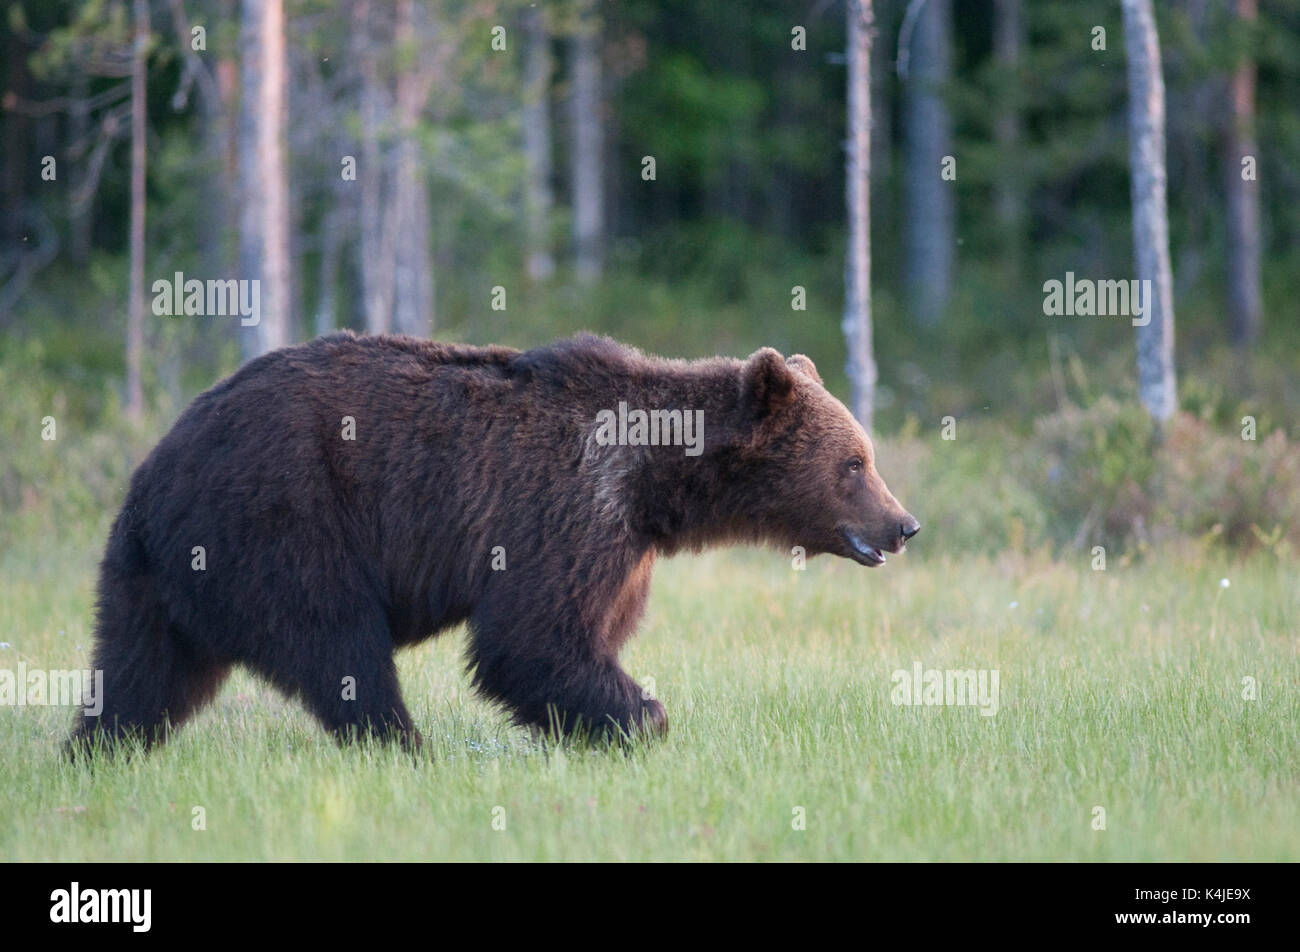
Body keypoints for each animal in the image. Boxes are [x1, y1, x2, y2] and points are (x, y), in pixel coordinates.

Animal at [71, 330, 920, 754]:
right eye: (854, 463)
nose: (904, 524)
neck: (657, 485)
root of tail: (155, 471)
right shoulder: (566, 509)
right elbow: (532, 640)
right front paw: (642, 718)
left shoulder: (623, 547)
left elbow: (588, 635)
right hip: (283, 522)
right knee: (339, 646)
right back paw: (402, 744)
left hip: (161, 572)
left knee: (142, 671)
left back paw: (97, 748)